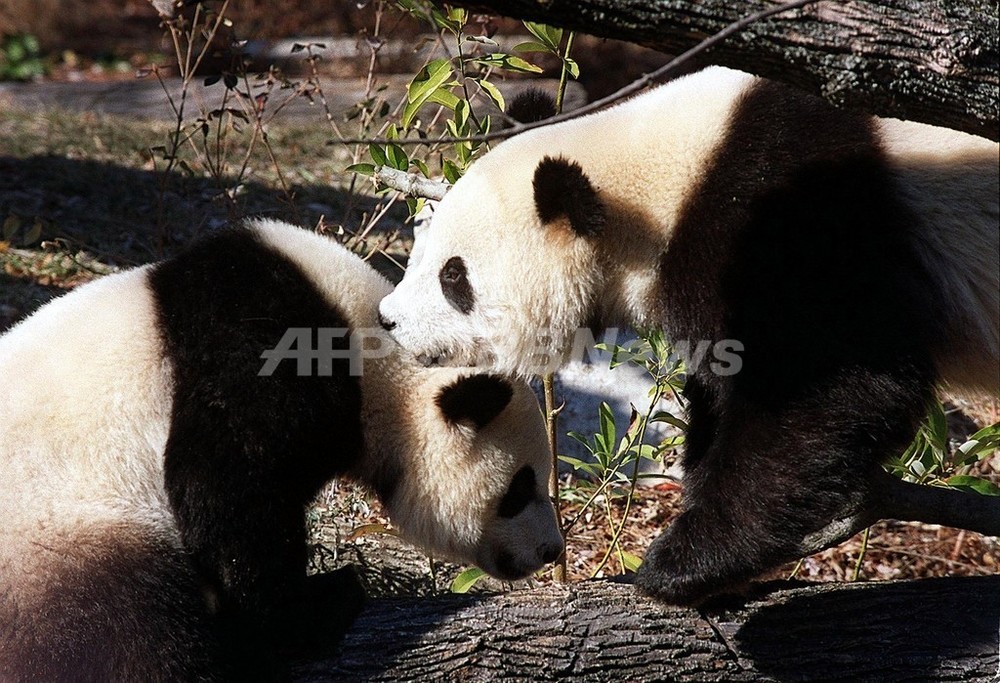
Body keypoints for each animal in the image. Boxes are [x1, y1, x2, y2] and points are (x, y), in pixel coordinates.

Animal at [0, 218, 564, 680]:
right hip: (69, 535)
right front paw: (313, 606)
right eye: (520, 489)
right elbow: (226, 486)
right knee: (134, 641)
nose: (551, 550)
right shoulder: (267, 347)